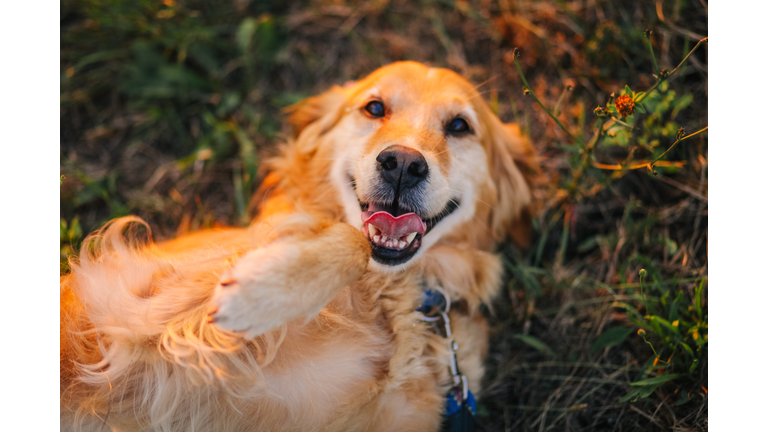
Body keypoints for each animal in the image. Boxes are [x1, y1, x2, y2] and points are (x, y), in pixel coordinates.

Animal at [60, 61, 536, 432]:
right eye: (374, 108)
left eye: (459, 126)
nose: (401, 163)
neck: (399, 296)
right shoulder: (136, 303)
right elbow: (352, 239)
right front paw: (259, 293)